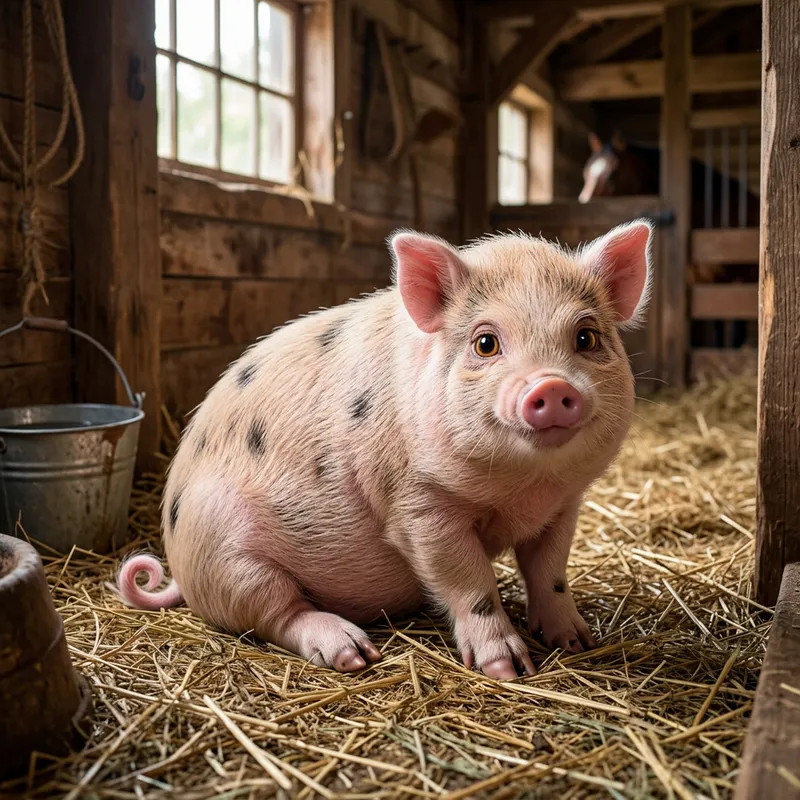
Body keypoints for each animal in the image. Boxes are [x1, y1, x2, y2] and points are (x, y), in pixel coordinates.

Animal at [118, 220, 652, 680]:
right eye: (485, 343)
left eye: (586, 336)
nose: (552, 386)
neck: (525, 488)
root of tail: (176, 565)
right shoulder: (416, 504)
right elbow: (471, 582)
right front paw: (508, 669)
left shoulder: (564, 504)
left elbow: (550, 572)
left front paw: (578, 642)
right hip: (224, 550)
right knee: (278, 613)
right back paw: (355, 653)